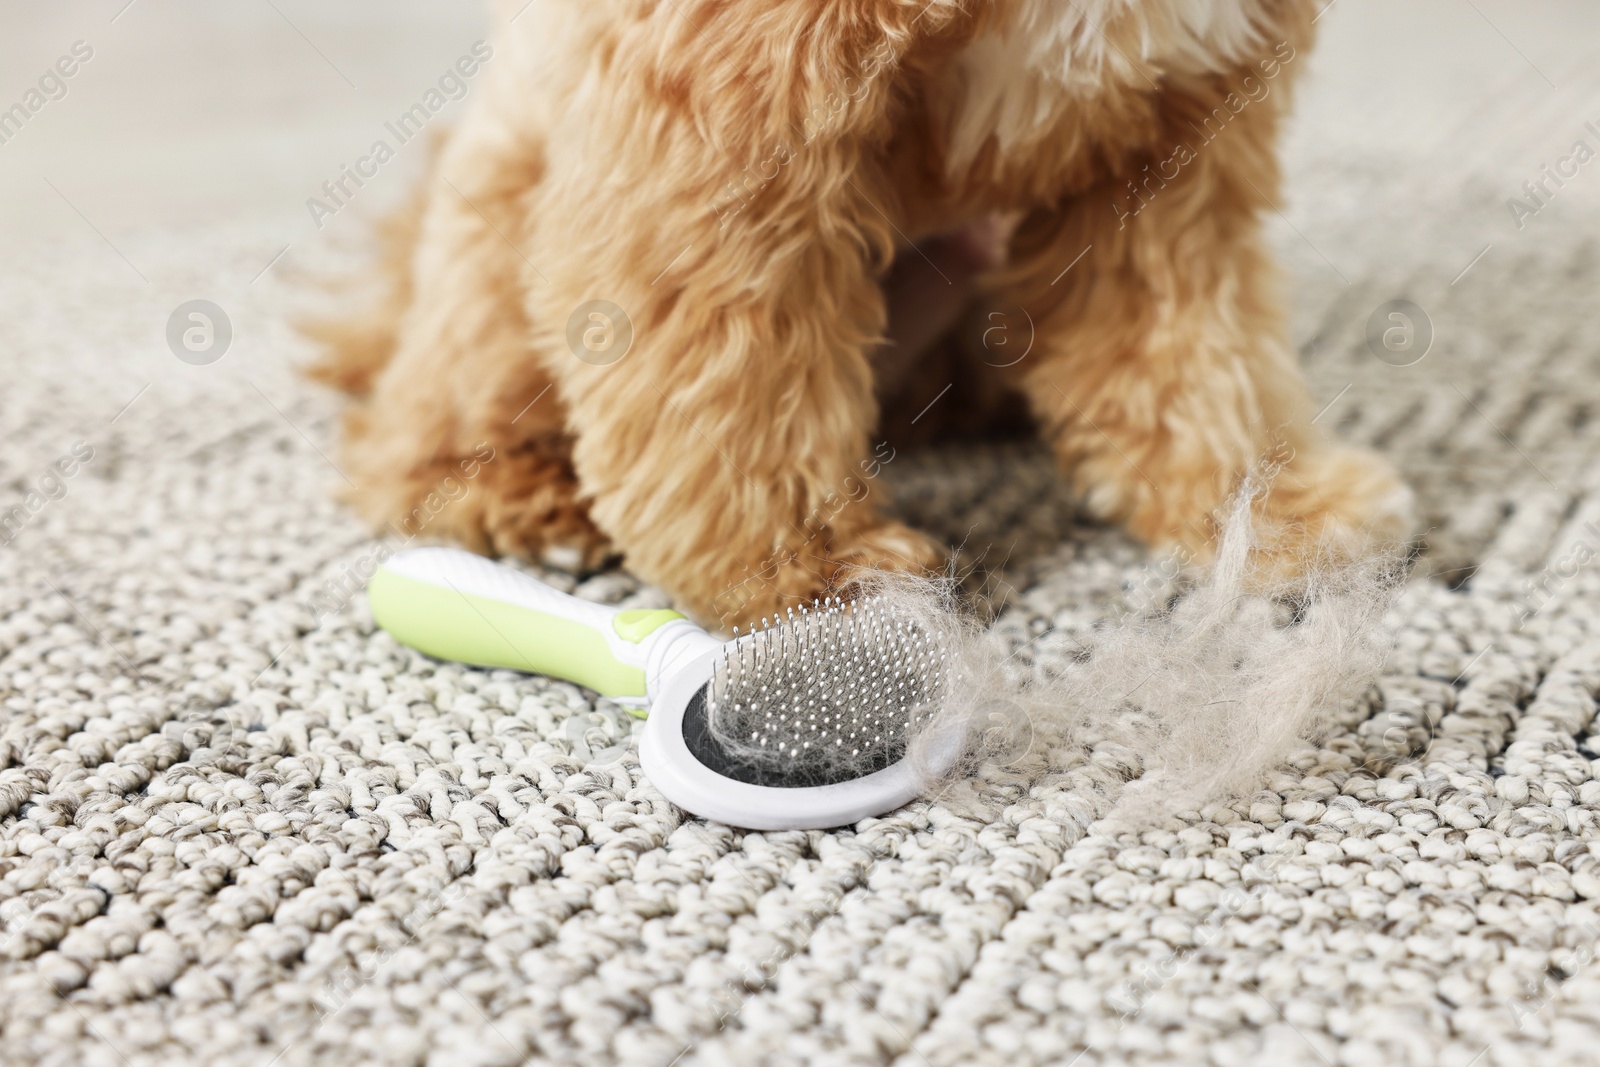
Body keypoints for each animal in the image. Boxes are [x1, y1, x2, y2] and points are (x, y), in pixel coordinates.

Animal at [308, 0, 1414, 630]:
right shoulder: (736, 124)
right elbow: (737, 378)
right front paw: (801, 569)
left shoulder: (1175, 142)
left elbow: (1194, 350)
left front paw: (1261, 508)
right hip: (504, 226)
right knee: (414, 430)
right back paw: (520, 495)